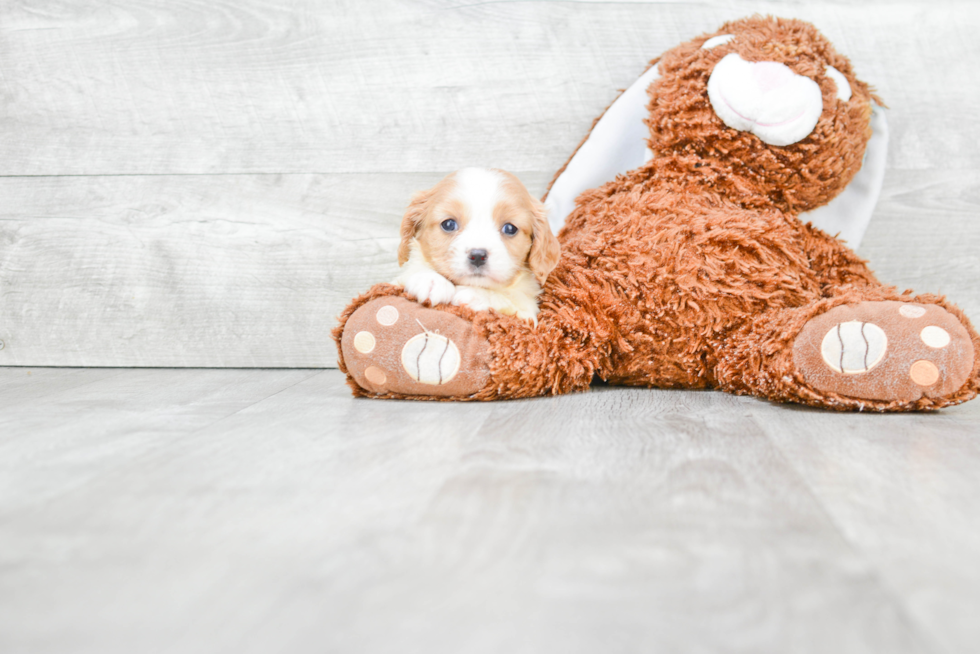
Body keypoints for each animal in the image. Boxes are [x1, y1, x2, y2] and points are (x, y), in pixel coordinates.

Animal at [390, 168, 560, 324]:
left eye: (510, 228)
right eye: (448, 224)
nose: (478, 256)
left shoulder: (527, 315)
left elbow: (510, 301)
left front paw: (477, 295)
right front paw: (430, 279)